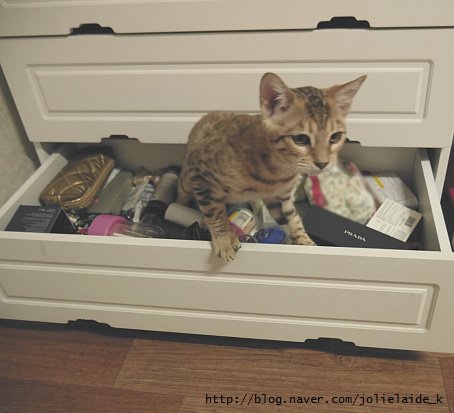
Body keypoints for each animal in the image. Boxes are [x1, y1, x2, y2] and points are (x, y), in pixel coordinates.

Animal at [178, 72, 366, 261]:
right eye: (300, 139)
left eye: (335, 137)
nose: (323, 163)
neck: (279, 169)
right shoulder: (200, 173)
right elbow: (215, 213)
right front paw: (224, 238)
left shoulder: (281, 198)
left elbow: (293, 219)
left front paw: (306, 242)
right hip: (187, 178)